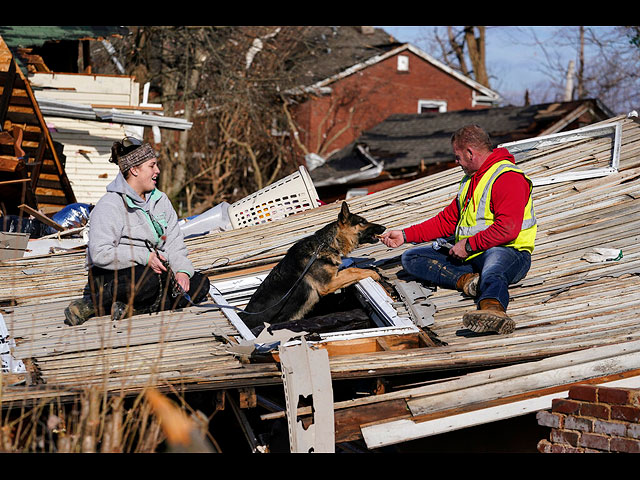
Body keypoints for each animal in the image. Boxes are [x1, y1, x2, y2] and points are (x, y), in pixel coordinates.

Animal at [240, 202, 384, 334]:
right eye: (363, 222)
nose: (384, 227)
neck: (326, 243)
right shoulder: (329, 283)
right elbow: (352, 271)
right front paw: (372, 273)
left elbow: (350, 270)